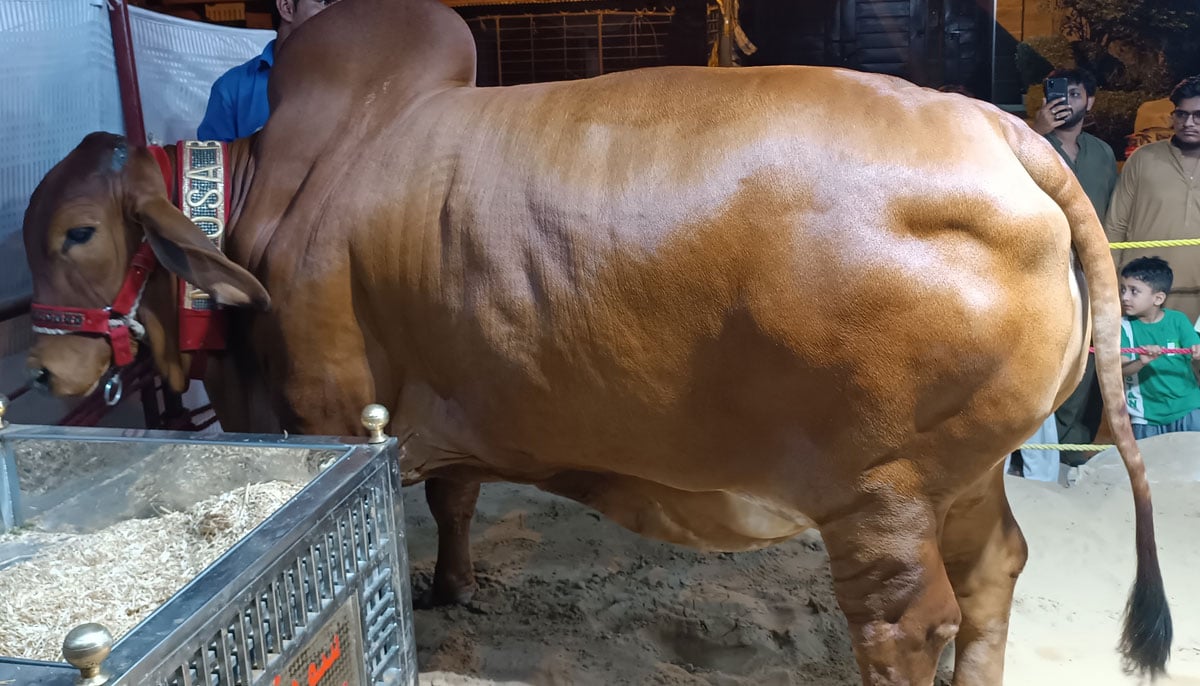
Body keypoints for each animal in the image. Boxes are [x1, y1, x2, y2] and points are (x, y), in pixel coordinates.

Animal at [18, 0, 1166, 681]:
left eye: (79, 231)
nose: (46, 364)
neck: (277, 182)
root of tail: (1003, 134)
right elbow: (455, 497)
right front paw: (452, 586)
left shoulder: (339, 416)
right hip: (960, 476)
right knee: (993, 574)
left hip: (882, 492)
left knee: (908, 621)